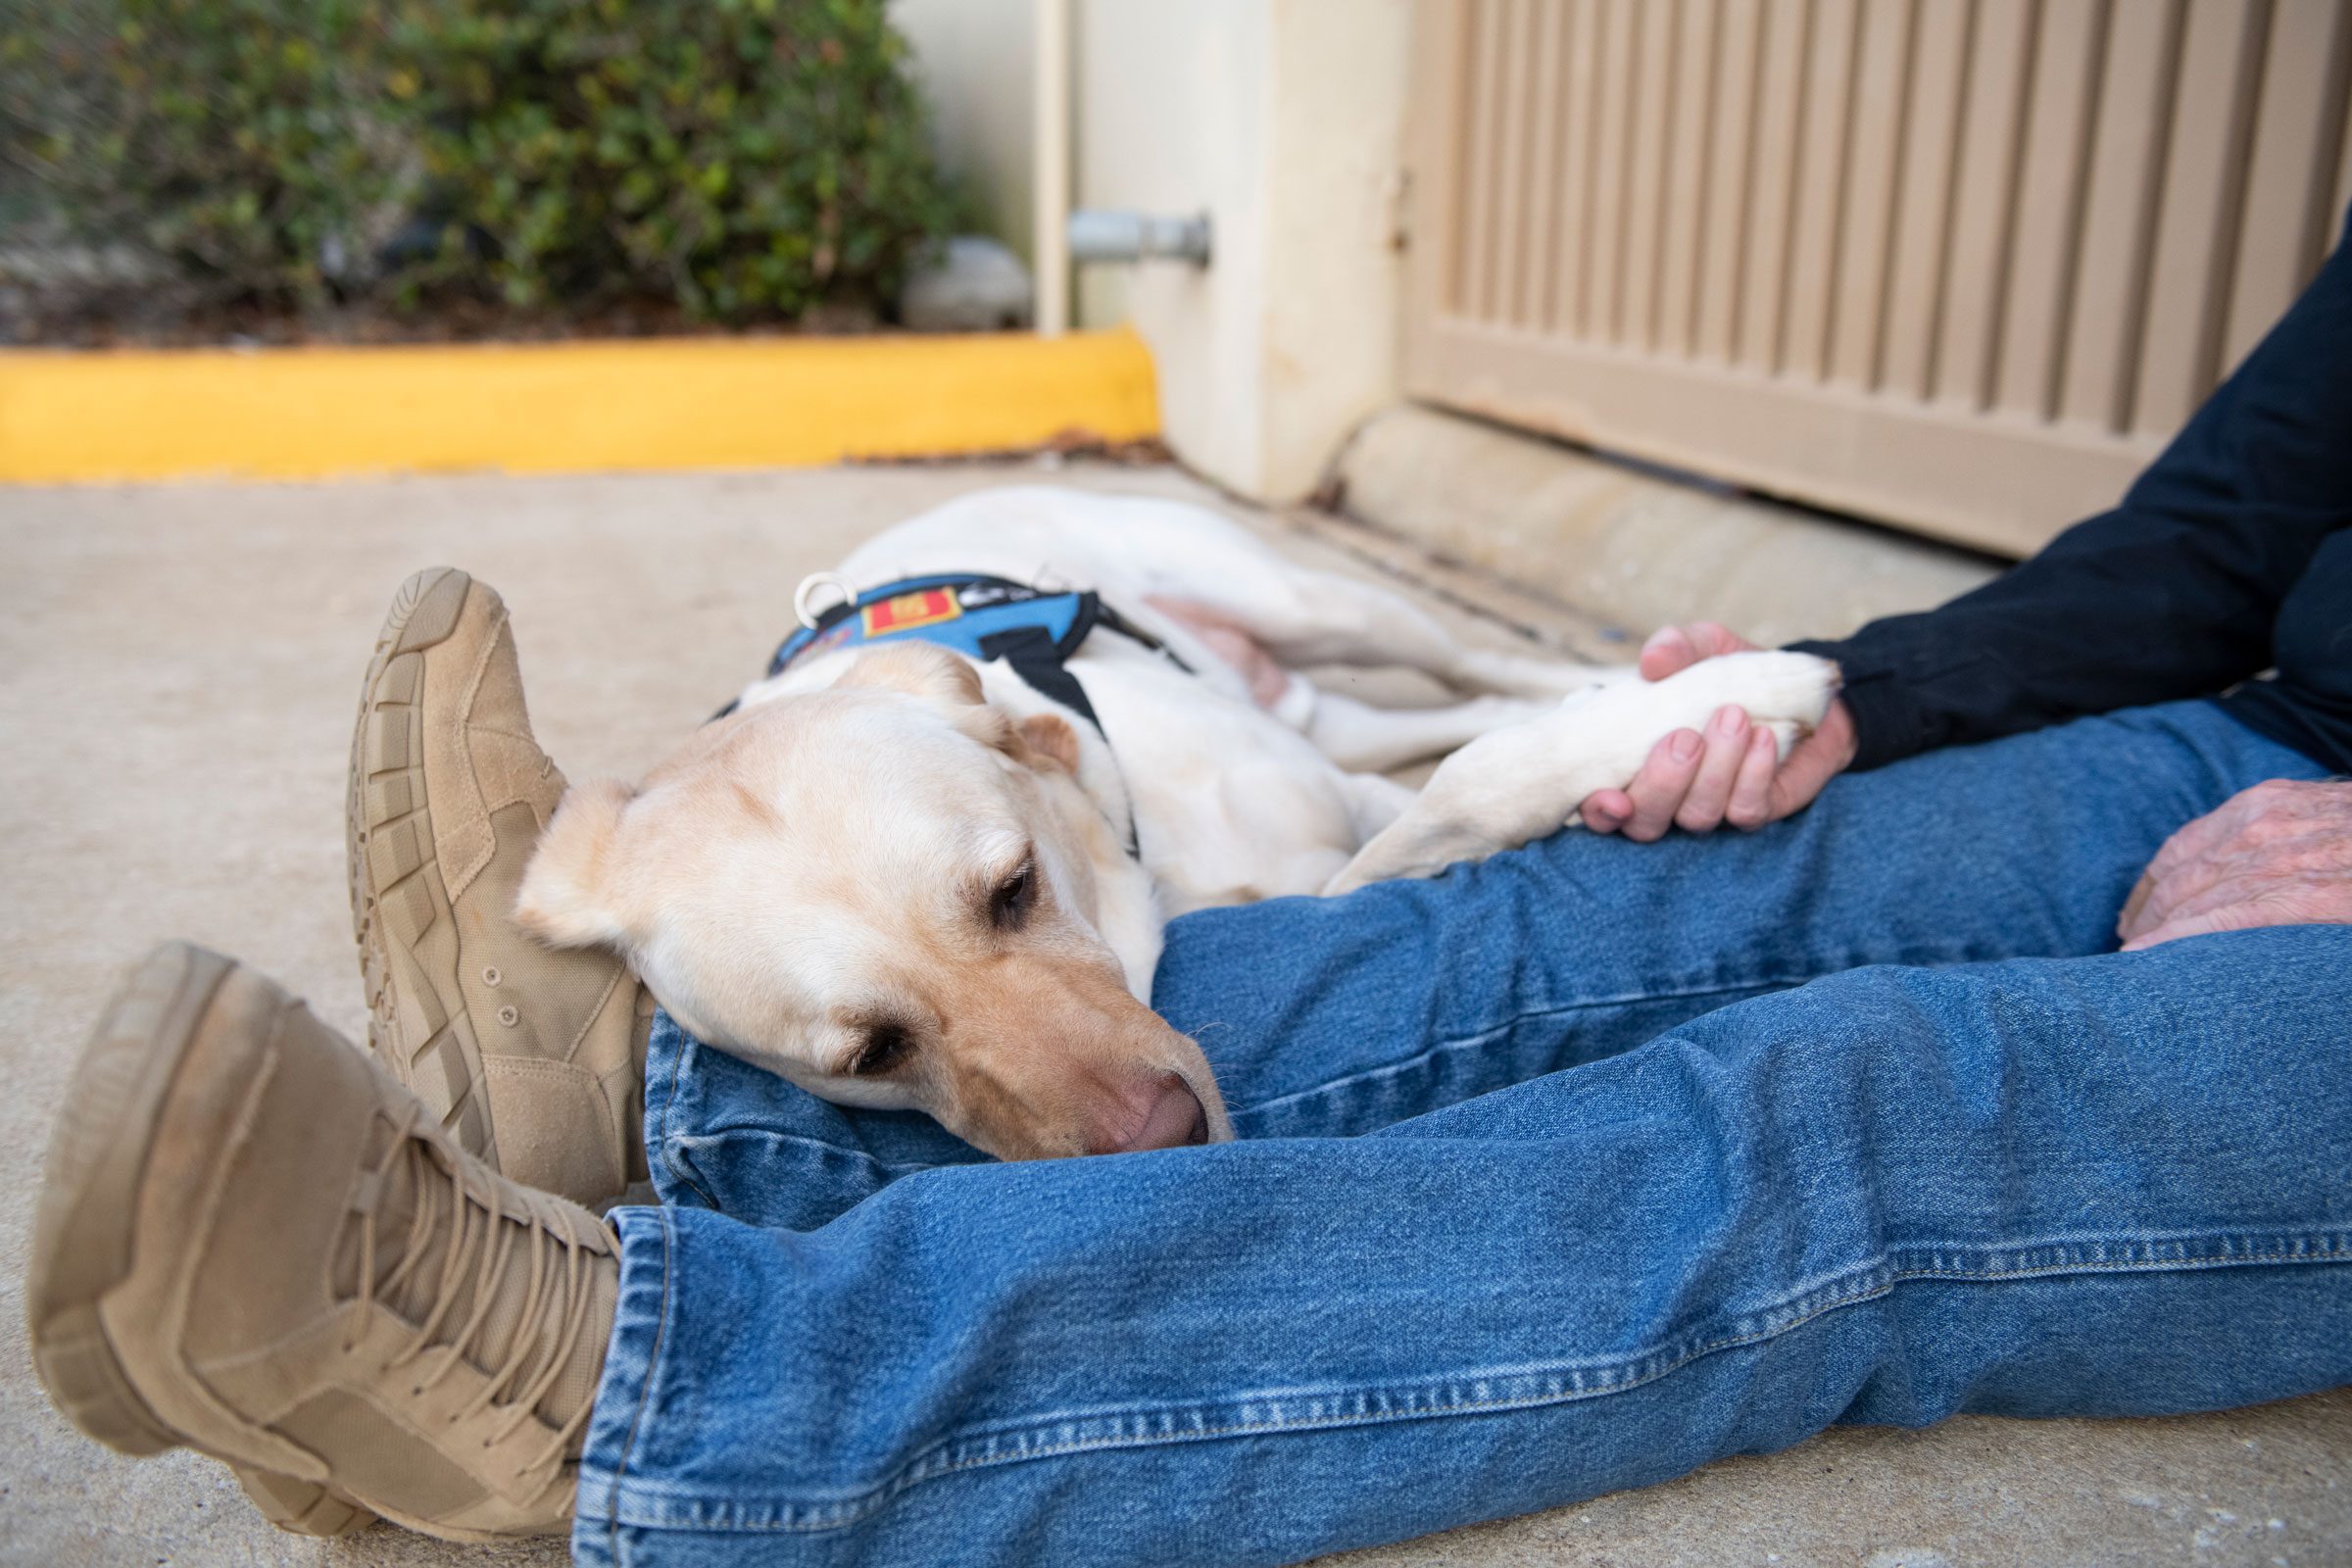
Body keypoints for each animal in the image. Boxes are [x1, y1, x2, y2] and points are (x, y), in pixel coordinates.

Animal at [519, 491, 1835, 1165]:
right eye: (873, 1054)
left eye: (1011, 888)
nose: (1164, 1140)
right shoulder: (1339, 858)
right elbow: (1458, 781)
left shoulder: (1356, 810)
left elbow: (1469, 781)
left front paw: (1730, 699)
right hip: (1327, 697)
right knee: (1452, 709)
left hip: (1323, 607)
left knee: (1475, 668)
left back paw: (1647, 670)